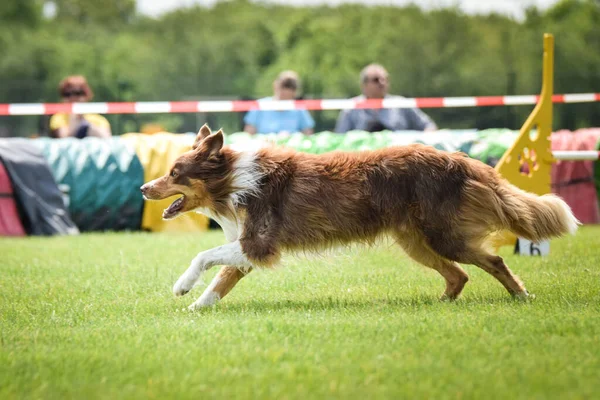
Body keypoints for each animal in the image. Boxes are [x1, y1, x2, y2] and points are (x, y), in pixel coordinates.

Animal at [139, 124, 576, 310]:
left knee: (494, 260)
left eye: (175, 172)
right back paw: (439, 305)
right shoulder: (247, 249)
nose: (143, 188)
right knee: (458, 275)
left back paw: (522, 296)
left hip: (443, 235)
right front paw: (197, 309)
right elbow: (222, 279)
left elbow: (203, 256)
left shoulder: (258, 243)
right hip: (415, 241)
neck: (232, 181)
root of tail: (464, 160)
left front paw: (182, 286)